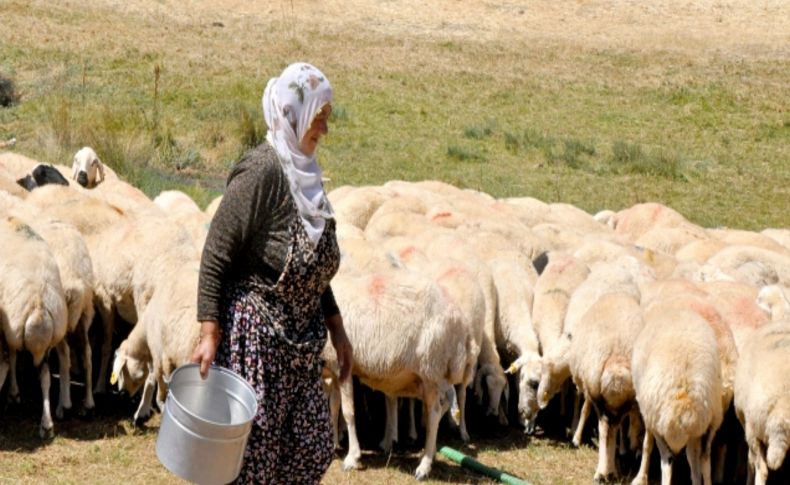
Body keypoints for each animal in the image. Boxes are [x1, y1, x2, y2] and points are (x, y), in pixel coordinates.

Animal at [0, 217, 68, 436]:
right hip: (47, 341)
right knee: (45, 376)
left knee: (7, 363)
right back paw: (47, 424)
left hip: (12, 327)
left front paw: (13, 394)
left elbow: (11, 360)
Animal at [324, 270, 480, 478]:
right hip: (429, 376)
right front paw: (334, 445)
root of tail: (463, 326)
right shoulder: (333, 371)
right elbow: (333, 408)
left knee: (434, 411)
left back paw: (424, 466)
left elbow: (348, 412)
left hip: (431, 368)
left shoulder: (344, 367)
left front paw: (352, 457)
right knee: (441, 404)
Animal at [632, 306, 724, 484]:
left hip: (661, 423)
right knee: (703, 461)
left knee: (667, 463)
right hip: (711, 421)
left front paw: (640, 477)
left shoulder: (649, 416)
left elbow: (647, 444)